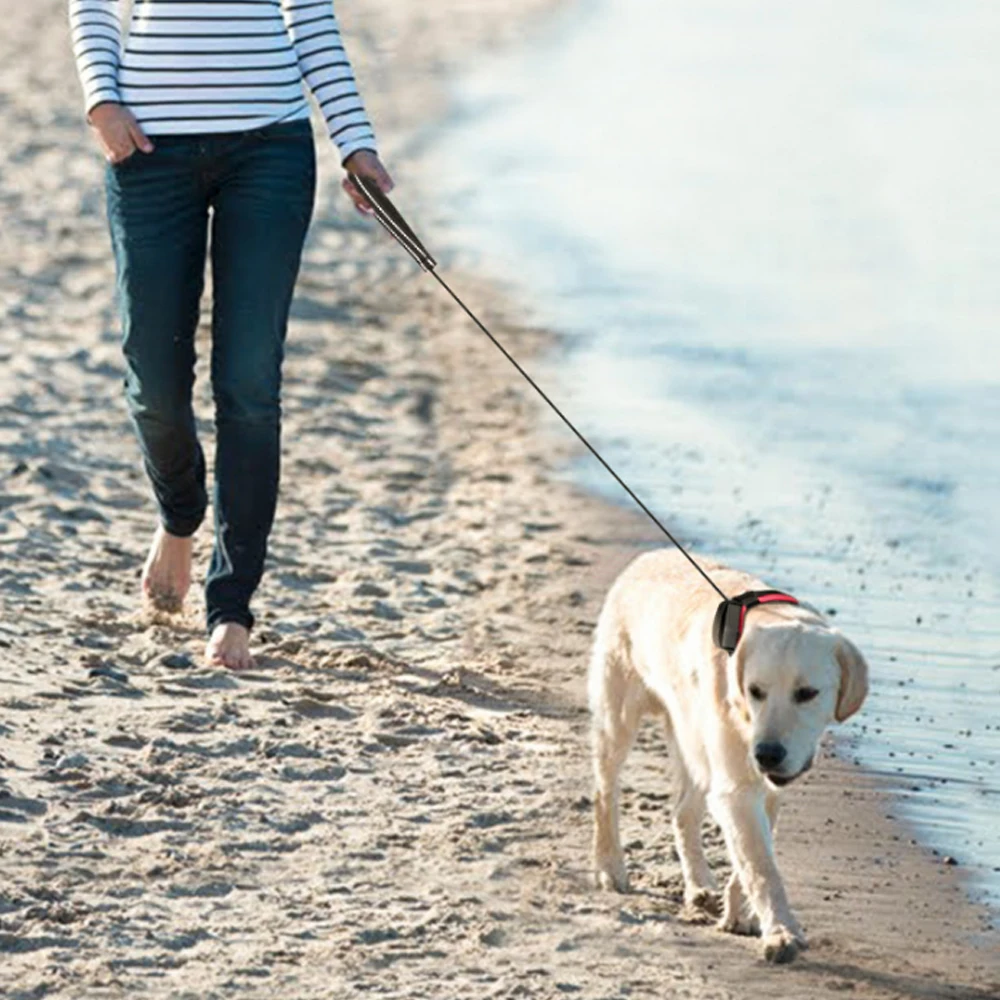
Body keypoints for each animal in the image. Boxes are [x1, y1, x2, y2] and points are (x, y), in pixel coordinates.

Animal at [584, 544, 868, 964]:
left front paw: (739, 914)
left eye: (807, 693)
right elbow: (762, 867)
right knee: (606, 792)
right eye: (755, 691)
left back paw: (699, 885)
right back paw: (610, 867)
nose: (767, 754)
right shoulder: (737, 786)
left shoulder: (765, 787)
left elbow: (749, 858)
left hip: (693, 740)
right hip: (618, 717)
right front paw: (781, 932)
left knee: (683, 811)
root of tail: (649, 555)